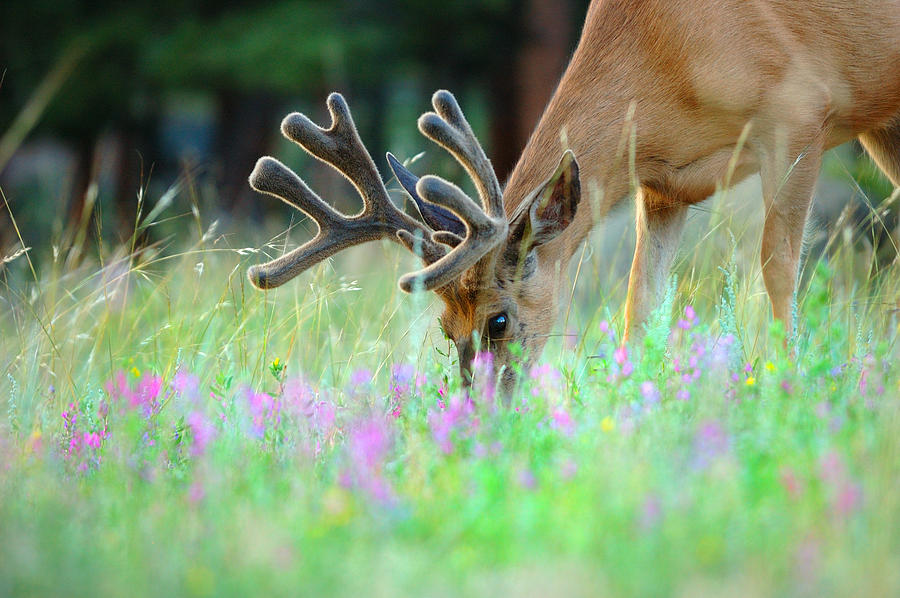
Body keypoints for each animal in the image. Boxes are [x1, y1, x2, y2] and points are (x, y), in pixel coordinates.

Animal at [250, 1, 900, 398]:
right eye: (444, 327)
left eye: (498, 320)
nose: (479, 417)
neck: (669, 50)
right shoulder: (662, 183)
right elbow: (642, 302)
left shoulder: (800, 112)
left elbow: (779, 269)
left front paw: (789, 380)